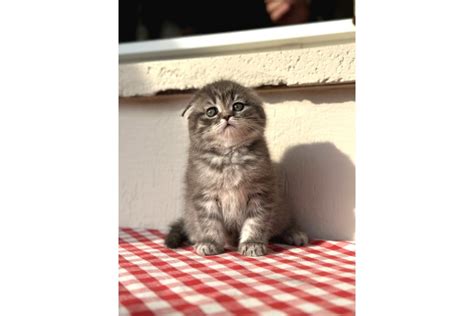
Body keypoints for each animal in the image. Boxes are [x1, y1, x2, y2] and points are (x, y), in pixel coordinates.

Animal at [165, 79, 310, 256]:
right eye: (211, 111)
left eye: (238, 106)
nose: (227, 116)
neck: (230, 155)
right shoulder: (204, 195)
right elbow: (209, 223)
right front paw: (210, 242)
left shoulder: (261, 192)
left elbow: (256, 221)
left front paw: (252, 243)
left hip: (281, 208)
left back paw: (293, 233)